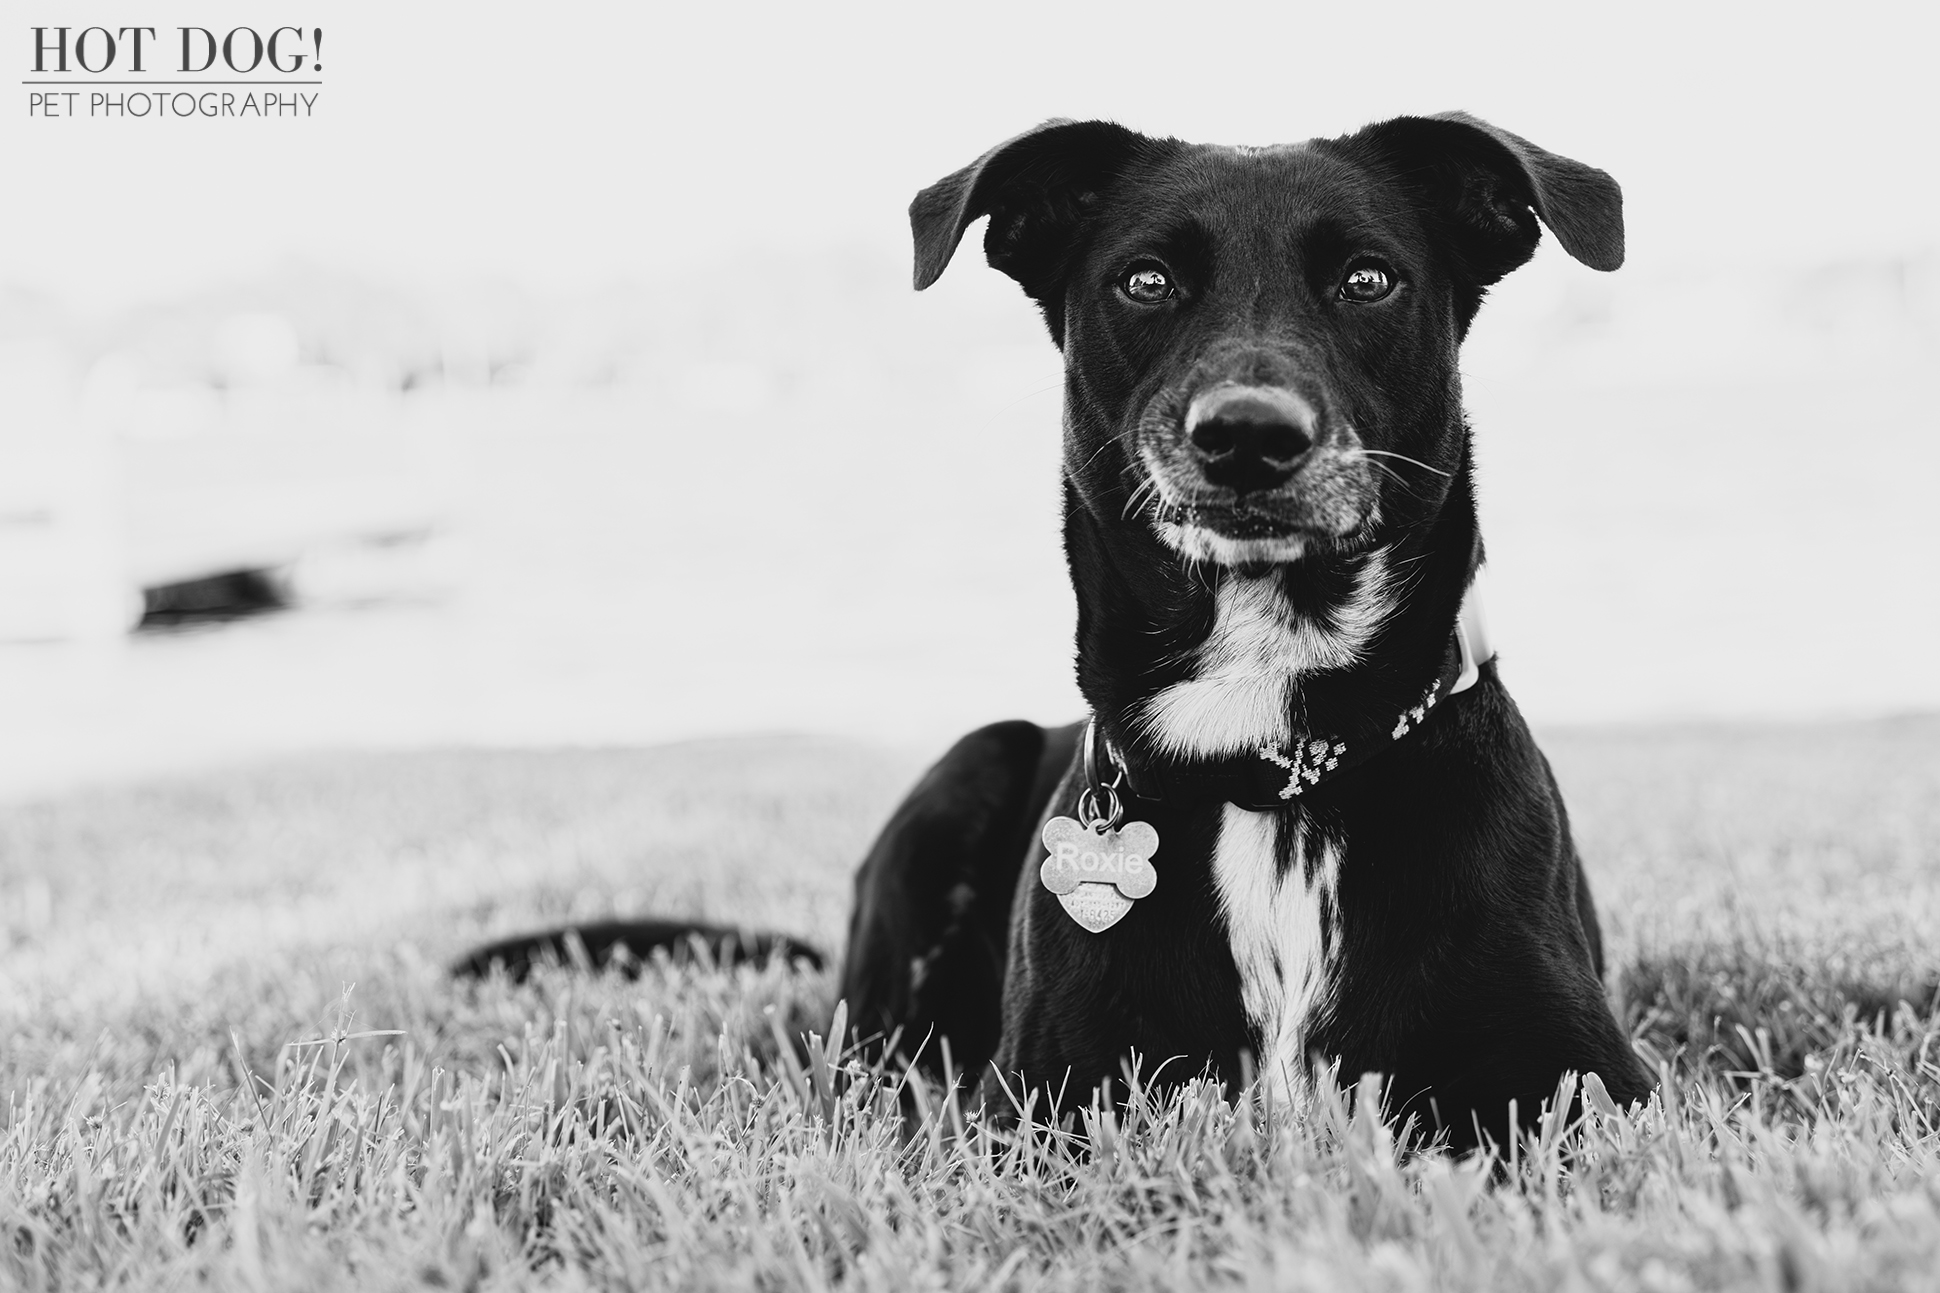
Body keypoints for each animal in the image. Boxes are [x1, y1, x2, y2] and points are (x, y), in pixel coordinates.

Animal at [457, 110, 1652, 1141]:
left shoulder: (1589, 1084)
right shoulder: (1038, 1099)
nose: (1247, 434)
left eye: (1368, 279)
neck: (1269, 760)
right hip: (963, 774)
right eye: (1145, 279)